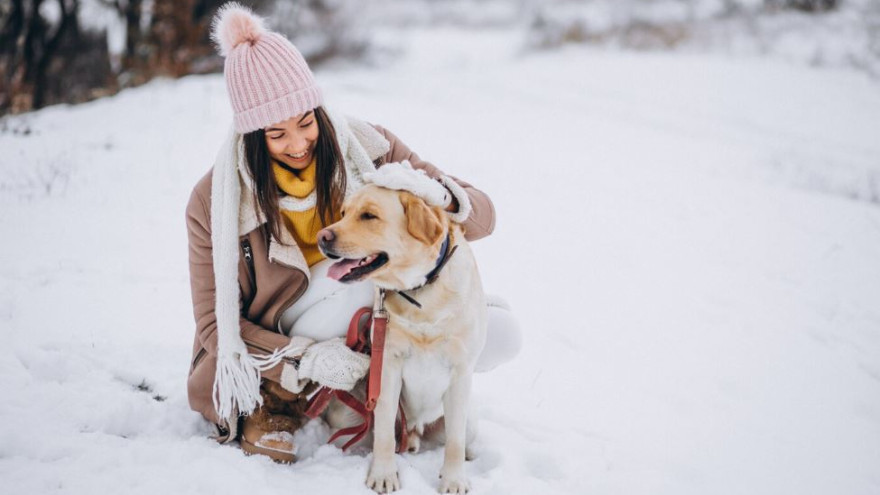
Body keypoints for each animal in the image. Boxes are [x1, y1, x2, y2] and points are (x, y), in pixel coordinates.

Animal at [318, 184, 488, 494]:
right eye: (344, 213)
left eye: (369, 215)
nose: (322, 237)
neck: (421, 292)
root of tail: (414, 429)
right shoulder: (388, 367)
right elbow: (384, 434)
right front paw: (383, 475)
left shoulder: (460, 373)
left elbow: (455, 442)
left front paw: (454, 479)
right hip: (348, 413)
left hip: (467, 419)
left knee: (461, 438)